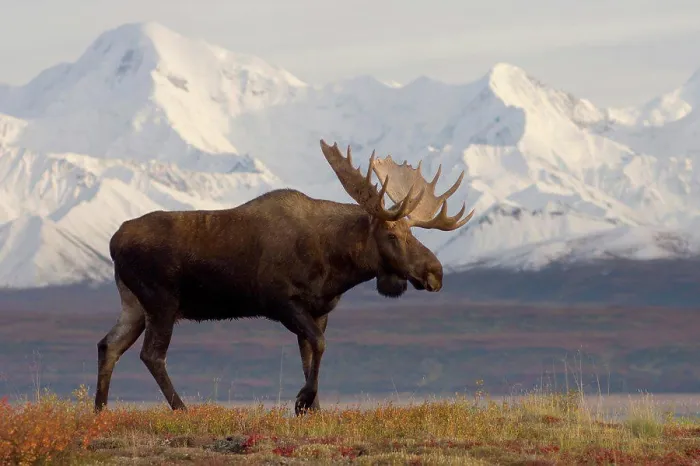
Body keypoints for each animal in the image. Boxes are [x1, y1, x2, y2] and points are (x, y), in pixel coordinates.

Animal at [94, 139, 474, 415]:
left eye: (414, 233)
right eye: (393, 235)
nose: (435, 272)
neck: (335, 265)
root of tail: (113, 241)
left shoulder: (319, 310)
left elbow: (310, 353)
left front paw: (314, 409)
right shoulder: (281, 302)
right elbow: (318, 346)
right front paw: (302, 401)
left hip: (134, 305)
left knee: (108, 345)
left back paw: (100, 410)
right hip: (161, 301)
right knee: (151, 355)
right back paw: (182, 408)